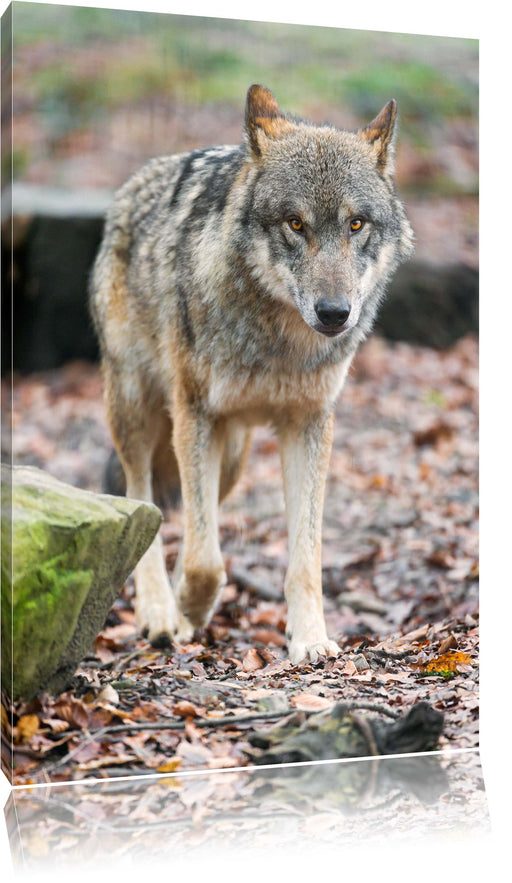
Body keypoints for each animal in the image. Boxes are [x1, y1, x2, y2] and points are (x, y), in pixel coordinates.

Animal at [90, 86, 414, 664]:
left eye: (356, 224)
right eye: (295, 224)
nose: (335, 313)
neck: (278, 343)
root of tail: (133, 183)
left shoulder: (308, 426)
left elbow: (304, 558)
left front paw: (310, 639)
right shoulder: (195, 414)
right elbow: (205, 561)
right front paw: (186, 610)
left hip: (232, 456)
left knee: (190, 517)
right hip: (138, 413)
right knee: (141, 500)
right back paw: (159, 613)